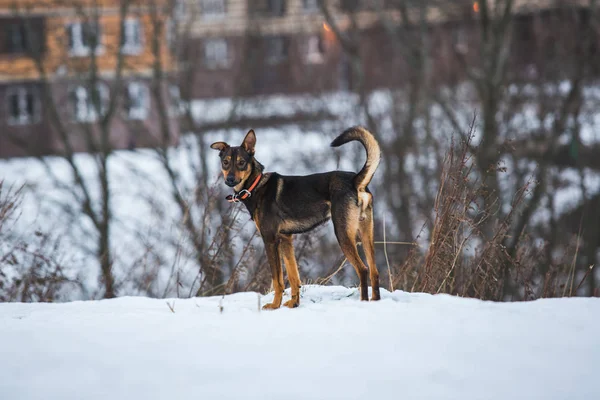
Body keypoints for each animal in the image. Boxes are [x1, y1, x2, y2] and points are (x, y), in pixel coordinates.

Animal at [210, 126, 380, 308]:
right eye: (225, 162)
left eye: (241, 162)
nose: (230, 179)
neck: (255, 185)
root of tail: (355, 181)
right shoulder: (286, 238)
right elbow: (293, 276)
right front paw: (293, 303)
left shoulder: (270, 240)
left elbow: (277, 279)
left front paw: (274, 305)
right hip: (366, 233)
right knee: (374, 271)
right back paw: (375, 301)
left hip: (343, 234)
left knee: (363, 269)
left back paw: (364, 302)